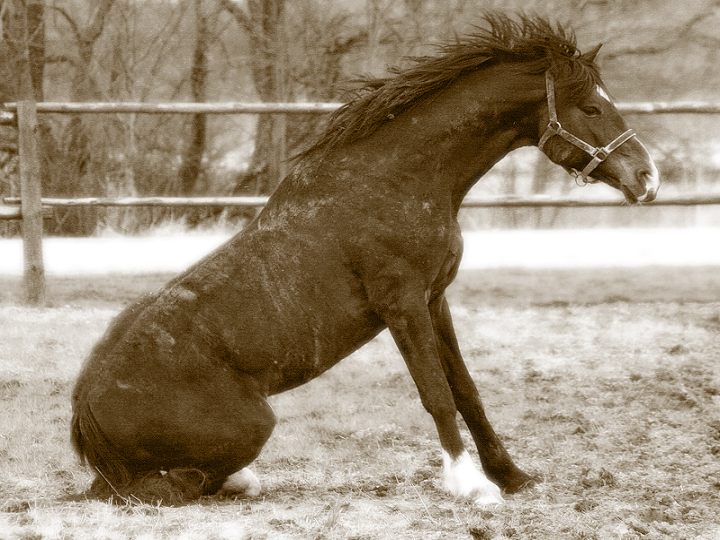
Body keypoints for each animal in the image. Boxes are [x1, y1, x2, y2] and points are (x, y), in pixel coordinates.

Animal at [71, 14, 660, 508]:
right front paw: (472, 487)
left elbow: (467, 392)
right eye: (591, 107)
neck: (396, 180)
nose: (647, 178)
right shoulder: (402, 305)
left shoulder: (435, 300)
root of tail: (85, 404)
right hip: (252, 425)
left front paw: (511, 477)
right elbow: (437, 396)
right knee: (153, 488)